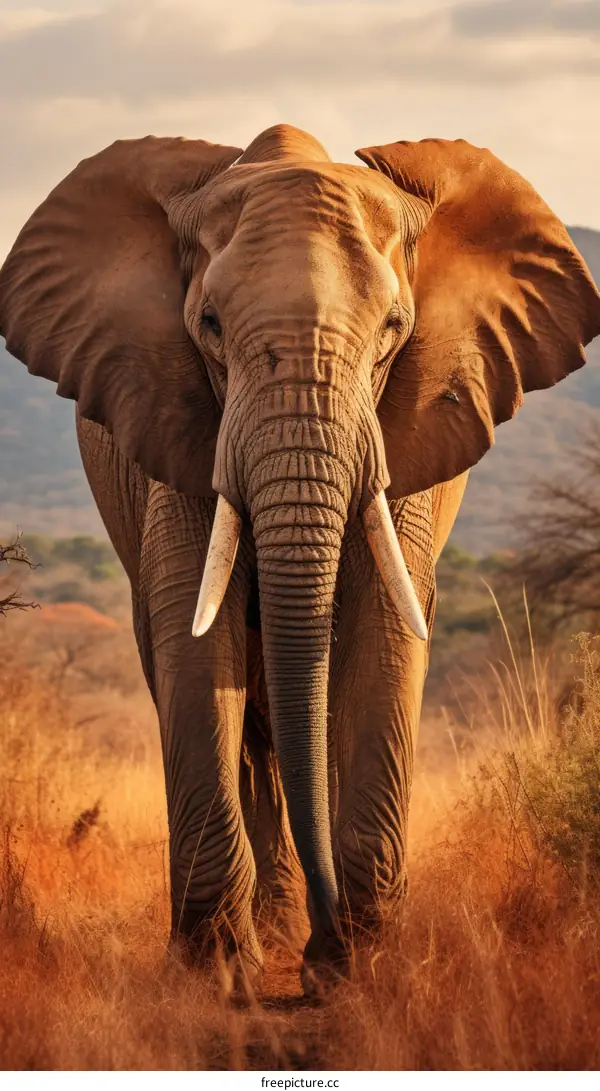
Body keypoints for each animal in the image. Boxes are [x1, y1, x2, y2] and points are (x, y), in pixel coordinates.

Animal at [1, 123, 599, 992]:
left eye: (393, 330)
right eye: (210, 324)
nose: (324, 948)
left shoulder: (403, 438)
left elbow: (383, 634)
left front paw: (358, 969)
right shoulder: (178, 422)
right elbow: (195, 641)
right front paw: (220, 976)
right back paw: (274, 928)